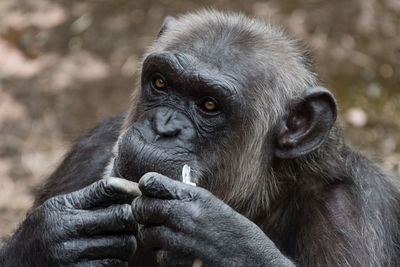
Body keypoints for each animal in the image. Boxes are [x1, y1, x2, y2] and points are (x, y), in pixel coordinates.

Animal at [0, 9, 400, 266]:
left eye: (209, 105)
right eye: (160, 83)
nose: (164, 127)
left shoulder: (351, 211)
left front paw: (219, 236)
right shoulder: (91, 153)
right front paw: (51, 238)